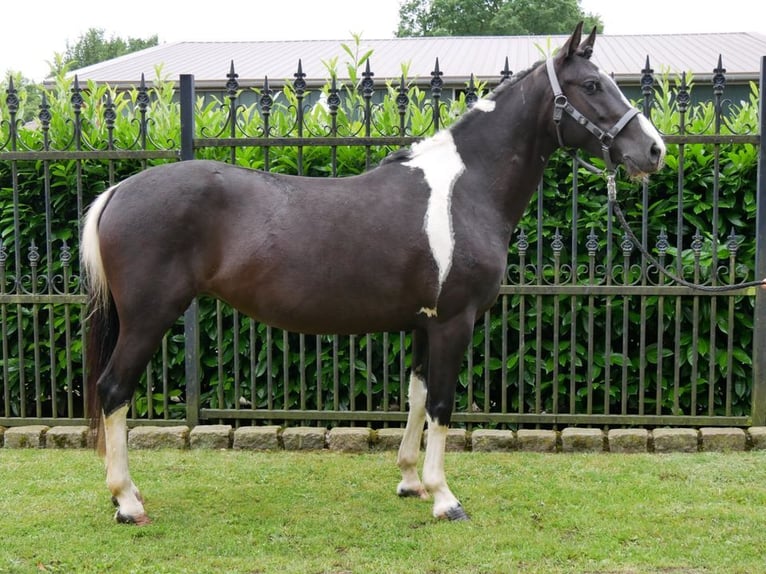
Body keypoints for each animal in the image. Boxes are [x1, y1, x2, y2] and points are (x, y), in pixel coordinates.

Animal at [79, 23, 664, 528]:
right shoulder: (454, 321)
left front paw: (411, 482)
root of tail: (118, 191)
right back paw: (127, 502)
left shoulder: (425, 324)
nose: (653, 150)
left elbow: (418, 396)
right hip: (149, 317)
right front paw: (445, 498)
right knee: (113, 390)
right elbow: (444, 404)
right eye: (592, 85)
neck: (465, 189)